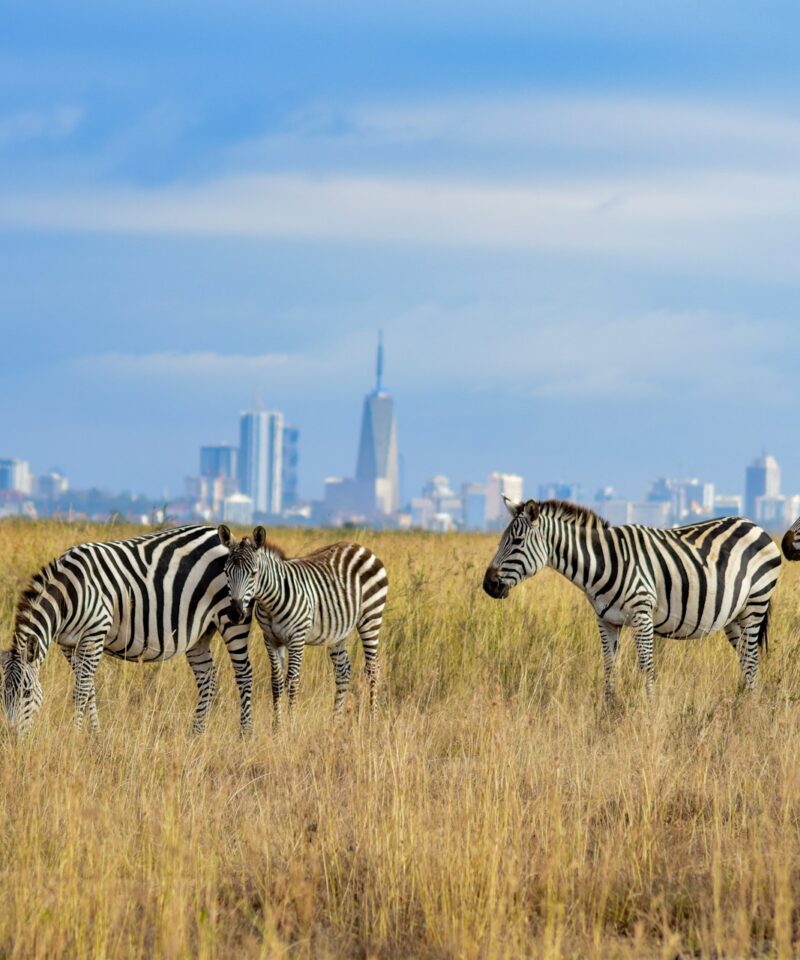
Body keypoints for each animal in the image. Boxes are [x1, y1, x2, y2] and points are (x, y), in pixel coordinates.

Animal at [0, 524, 253, 736]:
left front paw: (74, 735)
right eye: (1, 693)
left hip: (232, 618)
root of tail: (218, 534)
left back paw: (244, 735)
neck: (68, 595)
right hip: (199, 633)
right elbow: (89, 690)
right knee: (207, 679)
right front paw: (96, 736)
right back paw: (196, 735)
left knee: (244, 674)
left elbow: (81, 691)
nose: (11, 737)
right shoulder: (68, 644)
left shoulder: (94, 634)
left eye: (27, 693)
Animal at [219, 524, 388, 720]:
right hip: (338, 630)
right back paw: (336, 720)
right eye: (226, 572)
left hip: (371, 617)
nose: (235, 614)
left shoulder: (297, 638)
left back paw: (372, 718)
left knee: (373, 668)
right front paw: (277, 724)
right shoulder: (270, 639)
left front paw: (290, 723)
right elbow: (276, 682)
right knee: (343, 671)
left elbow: (292, 681)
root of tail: (360, 547)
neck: (270, 602)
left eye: (253, 574)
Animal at [482, 496, 780, 696]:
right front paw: (608, 712)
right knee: (746, 660)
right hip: (734, 617)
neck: (602, 563)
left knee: (752, 660)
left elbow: (646, 667)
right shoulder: (606, 620)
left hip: (755, 604)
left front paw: (647, 711)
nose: (488, 585)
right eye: (501, 540)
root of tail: (755, 525)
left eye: (516, 542)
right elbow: (609, 667)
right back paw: (742, 704)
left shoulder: (642, 615)